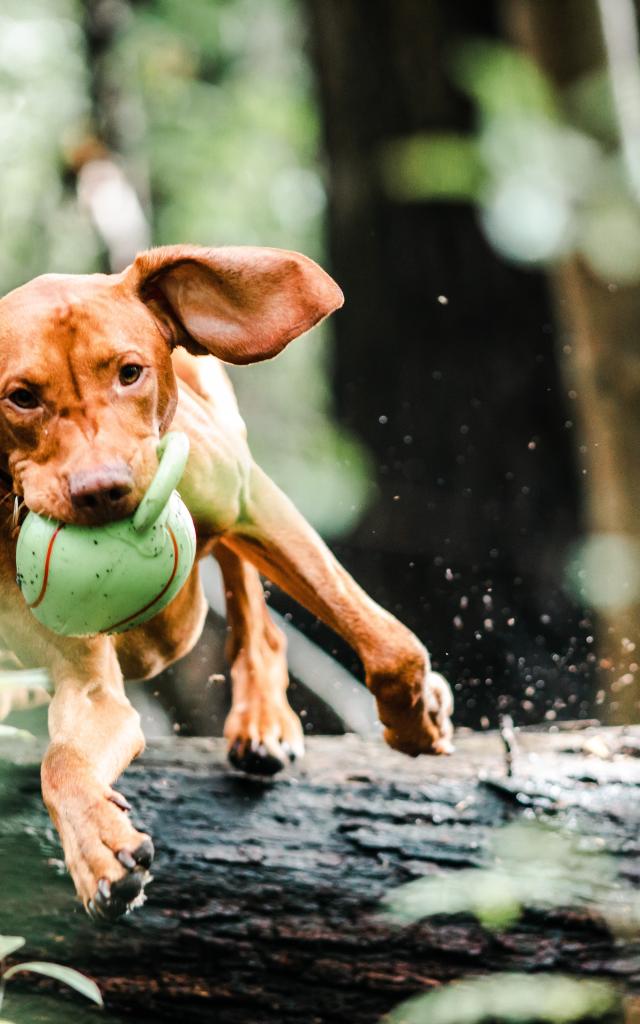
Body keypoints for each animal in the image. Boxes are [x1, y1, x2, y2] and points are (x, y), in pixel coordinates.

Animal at [0, 247, 452, 921]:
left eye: (130, 373)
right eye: (21, 397)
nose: (104, 490)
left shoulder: (248, 500)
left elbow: (389, 646)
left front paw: (416, 719)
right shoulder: (86, 684)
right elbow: (62, 758)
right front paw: (96, 846)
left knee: (252, 606)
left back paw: (263, 717)